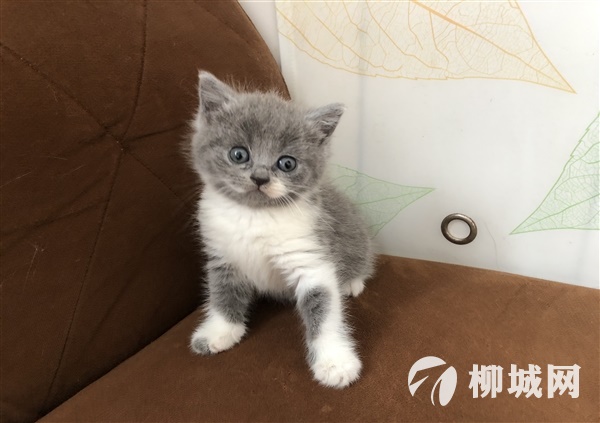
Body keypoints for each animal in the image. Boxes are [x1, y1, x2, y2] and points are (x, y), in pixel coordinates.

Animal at [187, 71, 374, 388]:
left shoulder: (310, 257)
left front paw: (334, 361)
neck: (255, 215)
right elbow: (223, 293)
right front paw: (219, 332)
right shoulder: (222, 255)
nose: (260, 177)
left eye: (287, 163)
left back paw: (351, 282)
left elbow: (324, 309)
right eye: (239, 154)